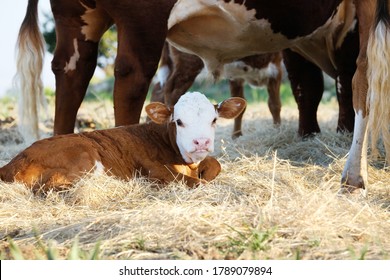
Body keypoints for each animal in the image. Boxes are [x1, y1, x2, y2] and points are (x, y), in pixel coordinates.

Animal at [0, 92, 245, 192]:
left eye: (214, 120)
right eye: (179, 121)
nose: (201, 142)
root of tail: (11, 163)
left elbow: (215, 164)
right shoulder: (156, 171)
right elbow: (194, 182)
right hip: (83, 155)